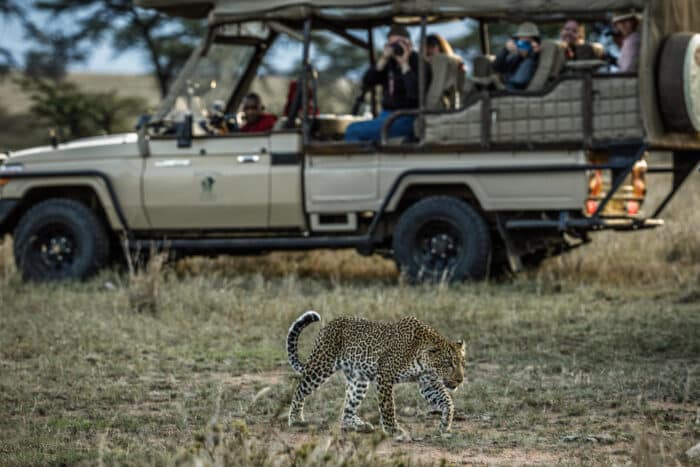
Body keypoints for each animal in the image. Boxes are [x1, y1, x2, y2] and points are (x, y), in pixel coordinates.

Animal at [284, 310, 464, 438]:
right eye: (448, 364)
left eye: (462, 363)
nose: (460, 380)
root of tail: (328, 325)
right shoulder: (385, 375)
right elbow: (388, 406)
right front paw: (393, 430)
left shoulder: (427, 383)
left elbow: (447, 402)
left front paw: (444, 426)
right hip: (321, 365)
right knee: (300, 388)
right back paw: (296, 419)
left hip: (359, 380)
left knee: (347, 410)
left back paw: (360, 426)